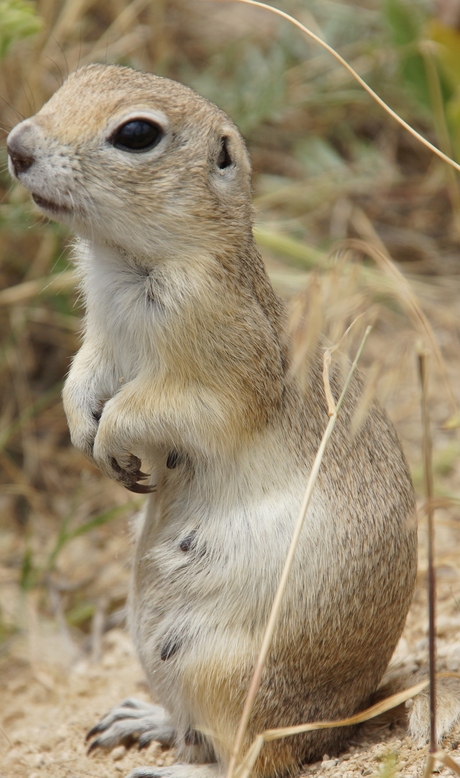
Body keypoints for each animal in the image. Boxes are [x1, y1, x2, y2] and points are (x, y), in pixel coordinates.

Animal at [6, 65, 420, 776]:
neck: (121, 262)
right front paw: (83, 429)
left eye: (136, 133)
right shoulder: (99, 341)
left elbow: (161, 406)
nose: (16, 146)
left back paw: (164, 764)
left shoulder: (220, 367)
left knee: (249, 758)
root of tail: (331, 726)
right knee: (198, 732)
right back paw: (140, 720)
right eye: (73, 79)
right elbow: (80, 377)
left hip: (220, 670)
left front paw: (112, 438)